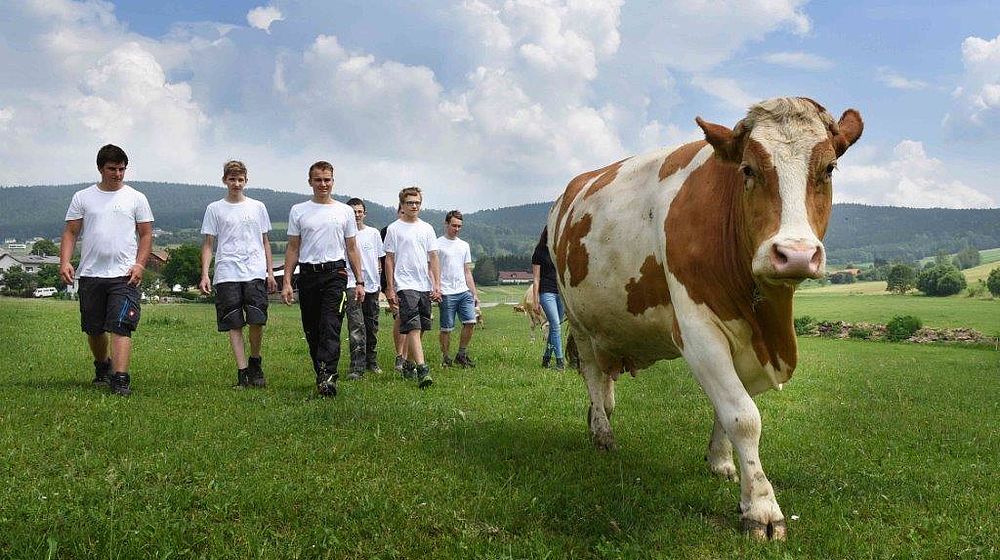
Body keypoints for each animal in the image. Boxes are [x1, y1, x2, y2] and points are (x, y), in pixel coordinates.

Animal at [548, 96, 860, 540]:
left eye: (829, 168)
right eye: (748, 169)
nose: (796, 254)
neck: (763, 321)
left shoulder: (750, 343)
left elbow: (728, 406)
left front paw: (721, 462)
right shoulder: (698, 332)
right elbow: (743, 416)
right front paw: (762, 509)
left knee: (604, 380)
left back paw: (598, 417)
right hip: (576, 316)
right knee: (592, 371)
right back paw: (603, 434)